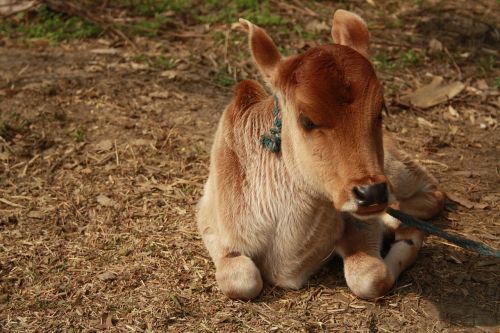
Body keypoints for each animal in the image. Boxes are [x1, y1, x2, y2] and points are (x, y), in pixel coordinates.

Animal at [197, 9, 444, 298]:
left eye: (380, 111)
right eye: (307, 119)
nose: (370, 193)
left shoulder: (363, 224)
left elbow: (371, 277)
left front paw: (408, 236)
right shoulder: (210, 222)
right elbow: (241, 281)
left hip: (395, 169)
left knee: (434, 193)